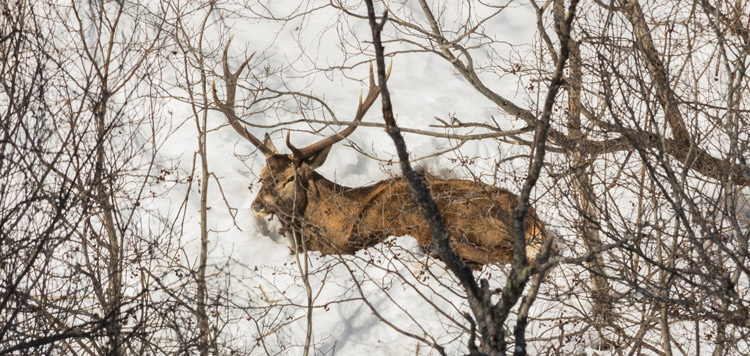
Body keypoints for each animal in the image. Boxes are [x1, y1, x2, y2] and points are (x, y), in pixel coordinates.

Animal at [214, 44, 548, 266]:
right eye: (261, 175)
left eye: (289, 179)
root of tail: (535, 225)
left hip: (459, 220)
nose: (257, 205)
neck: (331, 222)